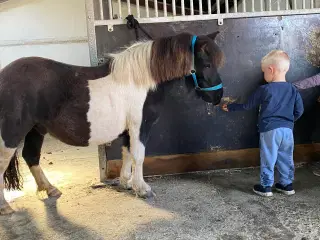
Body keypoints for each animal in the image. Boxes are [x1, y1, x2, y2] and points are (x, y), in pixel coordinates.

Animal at [0, 31, 224, 214]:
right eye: (207, 64)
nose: (218, 97)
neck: (141, 81)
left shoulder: (127, 130)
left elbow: (126, 153)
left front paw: (126, 183)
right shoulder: (139, 126)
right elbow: (138, 155)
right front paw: (142, 189)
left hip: (36, 129)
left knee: (31, 156)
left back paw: (50, 189)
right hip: (12, 134)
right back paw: (5, 207)